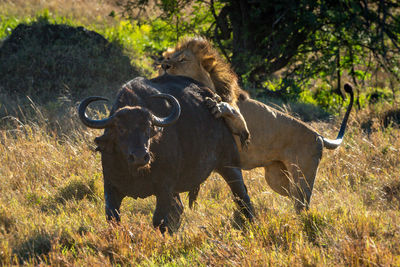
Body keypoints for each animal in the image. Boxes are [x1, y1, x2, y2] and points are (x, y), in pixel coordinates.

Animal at [78, 74, 253, 233]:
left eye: (148, 128)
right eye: (121, 129)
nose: (140, 156)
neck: (136, 172)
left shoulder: (165, 189)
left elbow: (159, 220)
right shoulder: (110, 186)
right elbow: (112, 217)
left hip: (229, 164)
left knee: (242, 196)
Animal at [159, 36, 354, 213]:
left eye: (183, 59)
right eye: (168, 58)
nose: (164, 66)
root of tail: (318, 135)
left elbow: (234, 116)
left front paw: (220, 107)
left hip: (302, 174)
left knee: (303, 203)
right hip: (276, 178)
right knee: (294, 198)